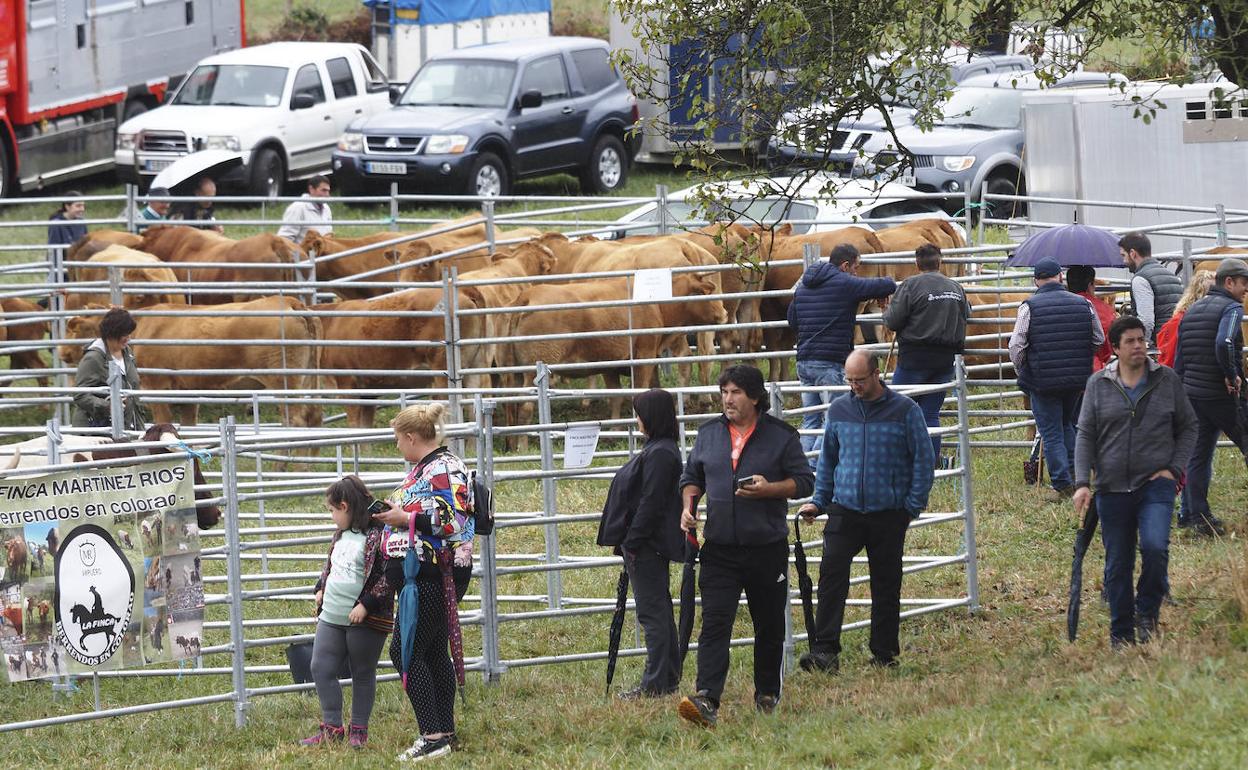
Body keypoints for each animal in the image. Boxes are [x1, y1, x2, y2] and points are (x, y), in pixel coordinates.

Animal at [62, 297, 321, 429]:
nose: (62, 352)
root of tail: (291, 302)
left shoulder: (156, 388)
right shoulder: (187, 393)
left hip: (283, 381)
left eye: (73, 327)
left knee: (295, 420)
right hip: (307, 379)